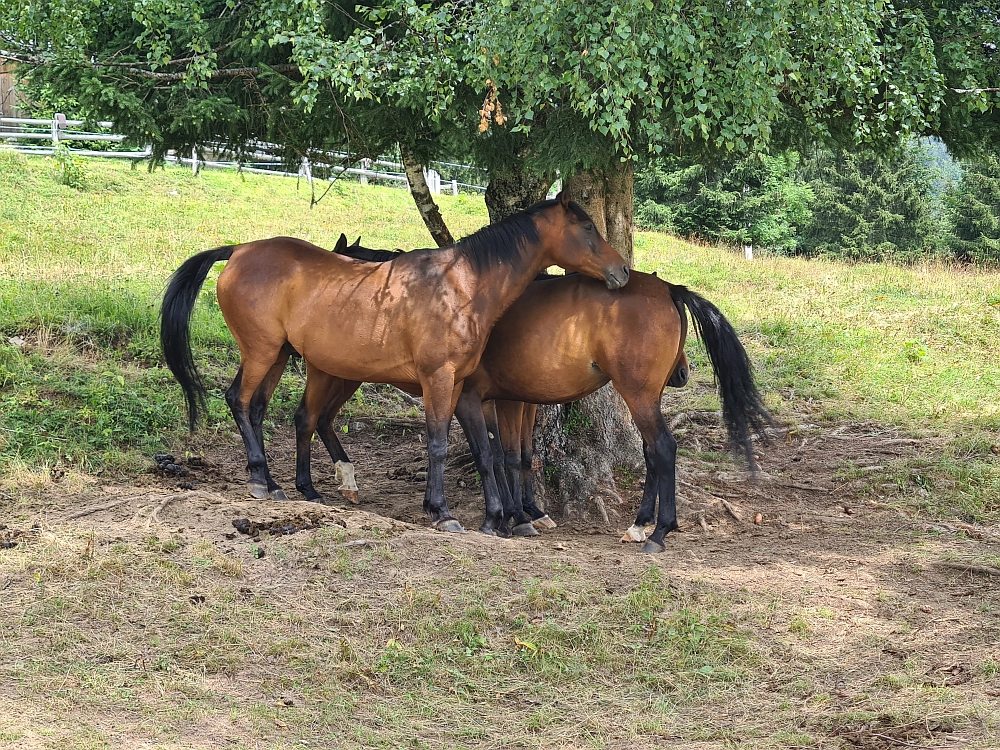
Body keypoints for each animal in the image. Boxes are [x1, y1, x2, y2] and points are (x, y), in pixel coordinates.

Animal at [158, 191, 624, 536]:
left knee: (262, 410)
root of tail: (239, 251)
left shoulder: (462, 387)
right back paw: (260, 480)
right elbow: (442, 444)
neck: (461, 285)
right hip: (264, 352)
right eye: (587, 228)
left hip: (280, 357)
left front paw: (492, 516)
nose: (621, 271)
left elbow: (484, 451)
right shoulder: (442, 381)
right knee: (240, 400)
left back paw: (283, 485)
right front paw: (444, 512)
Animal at [300, 239, 768, 552]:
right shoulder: (511, 400)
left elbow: (496, 454)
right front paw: (524, 513)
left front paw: (507, 516)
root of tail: (668, 288)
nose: (683, 374)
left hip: (637, 395)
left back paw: (655, 531)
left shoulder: (475, 398)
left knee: (662, 449)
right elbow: (515, 455)